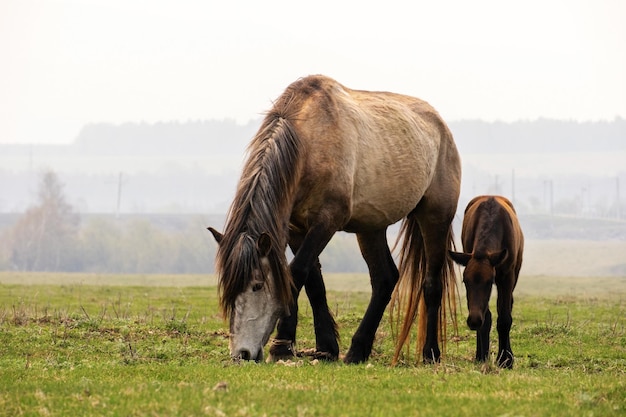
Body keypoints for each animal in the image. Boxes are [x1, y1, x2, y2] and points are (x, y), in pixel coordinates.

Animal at [208, 75, 458, 364]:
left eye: (257, 286)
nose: (242, 354)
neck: (309, 142)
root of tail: (440, 125)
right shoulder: (296, 229)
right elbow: (312, 282)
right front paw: (325, 347)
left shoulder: (326, 222)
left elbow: (297, 272)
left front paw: (281, 346)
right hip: (370, 228)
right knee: (384, 278)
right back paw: (358, 350)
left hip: (435, 218)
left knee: (432, 284)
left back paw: (430, 353)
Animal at [448, 196, 520, 368]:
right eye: (465, 281)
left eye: (489, 282)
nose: (473, 321)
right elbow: (487, 318)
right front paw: (482, 355)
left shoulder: (506, 276)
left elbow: (504, 318)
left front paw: (505, 359)